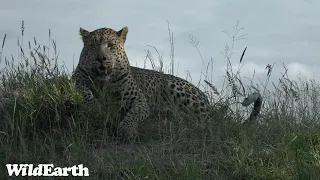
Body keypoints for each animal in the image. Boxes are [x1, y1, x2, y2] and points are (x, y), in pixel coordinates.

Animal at [70, 26, 262, 140]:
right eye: (92, 46)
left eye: (110, 45)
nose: (101, 59)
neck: (105, 82)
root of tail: (206, 98)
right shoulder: (76, 80)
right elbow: (85, 93)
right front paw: (95, 108)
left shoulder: (139, 102)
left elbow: (133, 115)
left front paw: (126, 130)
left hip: (175, 87)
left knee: (207, 122)